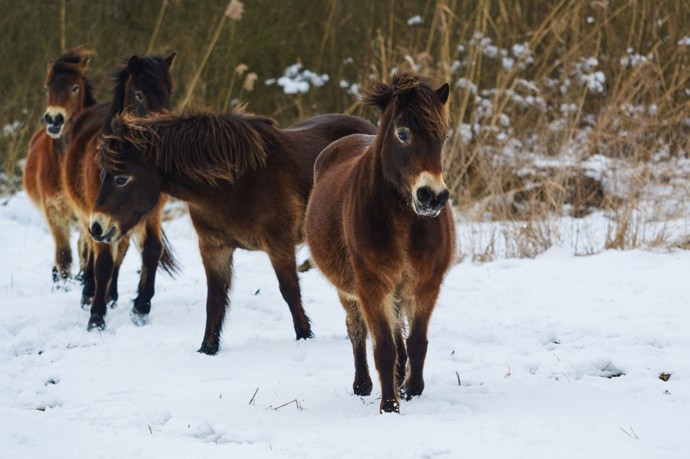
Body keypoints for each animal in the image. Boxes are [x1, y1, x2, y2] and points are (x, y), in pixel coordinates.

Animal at [23, 46, 97, 285]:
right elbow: (63, 255)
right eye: (47, 86)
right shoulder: (54, 212)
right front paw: (63, 282)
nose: (54, 119)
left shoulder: (87, 212)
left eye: (75, 87)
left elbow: (84, 250)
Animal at [62, 52, 178, 332]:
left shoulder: (151, 212)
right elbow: (102, 262)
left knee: (120, 251)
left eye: (169, 91)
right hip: (88, 215)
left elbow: (151, 251)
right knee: (92, 250)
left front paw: (141, 308)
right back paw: (90, 293)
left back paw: (111, 295)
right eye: (139, 94)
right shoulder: (99, 215)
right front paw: (96, 317)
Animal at [92, 109, 377, 355]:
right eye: (103, 175)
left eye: (121, 178)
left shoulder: (279, 244)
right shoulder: (214, 248)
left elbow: (290, 290)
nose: (96, 227)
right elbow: (215, 299)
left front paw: (304, 336)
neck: (233, 183)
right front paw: (207, 348)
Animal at [304, 73, 455, 413]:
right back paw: (363, 385)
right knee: (357, 331)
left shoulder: (426, 284)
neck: (404, 220)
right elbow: (384, 347)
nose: (432, 196)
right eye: (403, 134)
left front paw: (413, 390)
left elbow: (416, 343)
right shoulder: (372, 285)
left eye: (442, 135)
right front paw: (389, 406)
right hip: (350, 290)